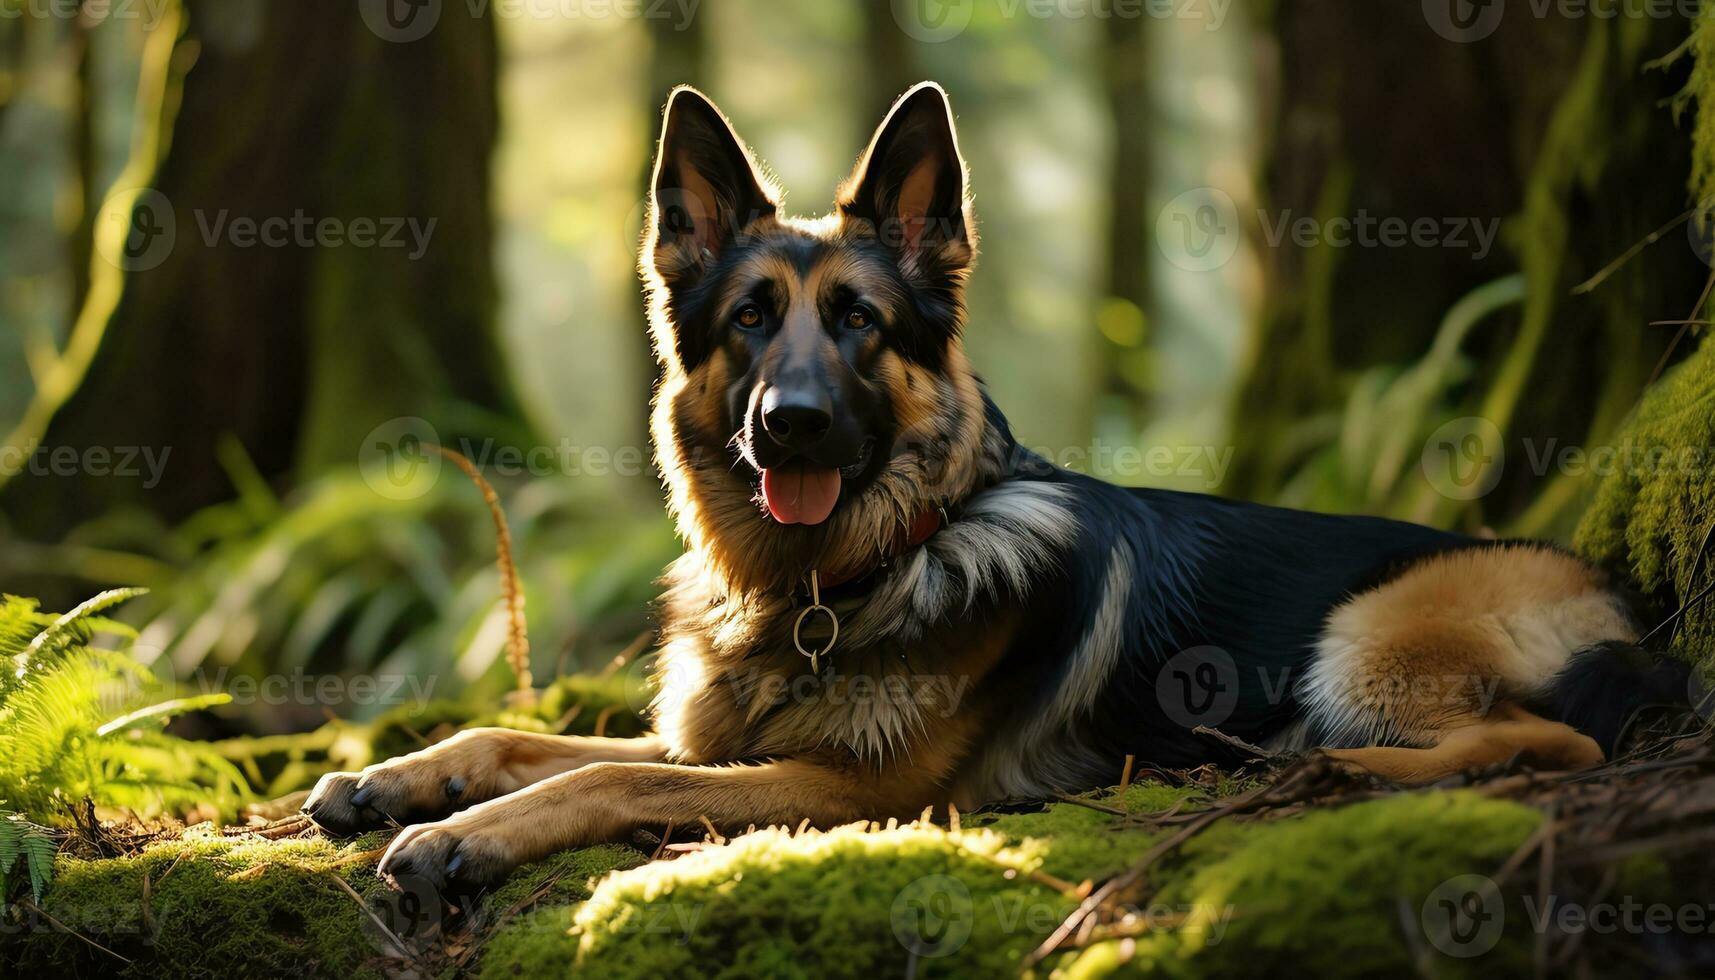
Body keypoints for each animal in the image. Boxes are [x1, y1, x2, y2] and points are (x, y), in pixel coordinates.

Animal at [301, 84, 1694, 899]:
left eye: (859, 323)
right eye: (749, 320)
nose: (788, 424)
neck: (849, 574)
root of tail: (1618, 599)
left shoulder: (861, 794)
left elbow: (605, 781)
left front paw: (462, 835)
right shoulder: (720, 740)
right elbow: (523, 740)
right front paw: (403, 776)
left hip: (1364, 635)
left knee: (1547, 739)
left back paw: (1331, 769)